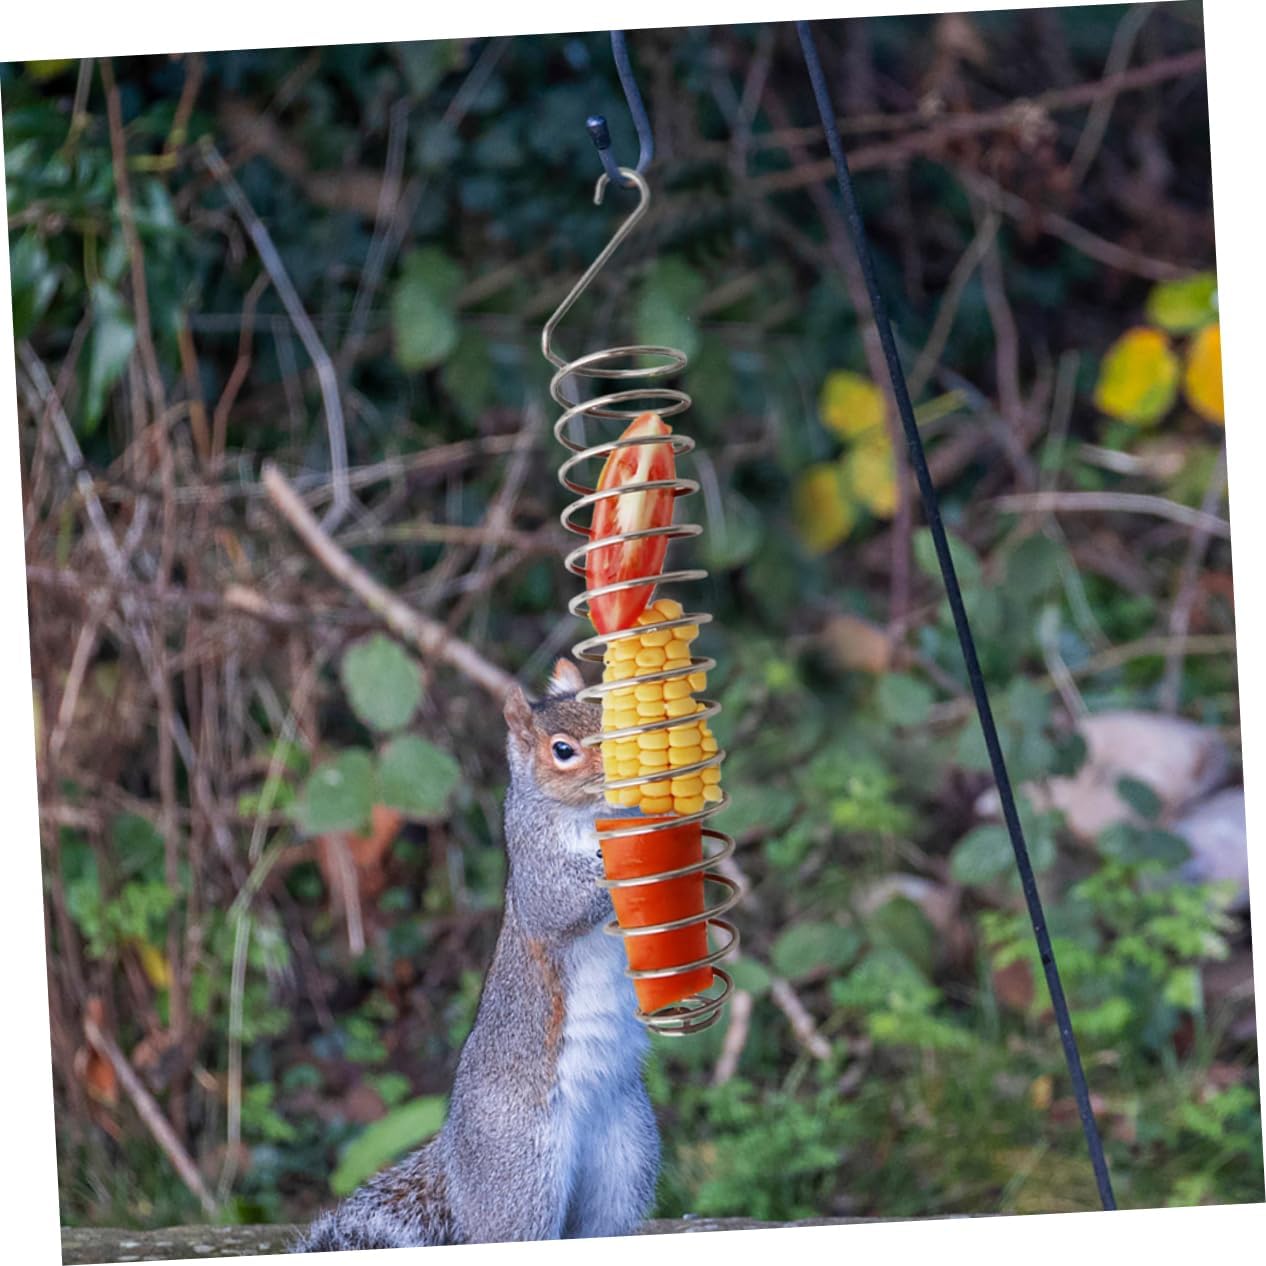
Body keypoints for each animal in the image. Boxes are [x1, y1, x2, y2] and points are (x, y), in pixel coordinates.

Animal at [292, 657, 660, 1251]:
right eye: (562, 749)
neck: (586, 815)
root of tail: (456, 1160)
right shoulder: (538, 876)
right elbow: (566, 903)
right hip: (521, 1179)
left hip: (624, 1158)